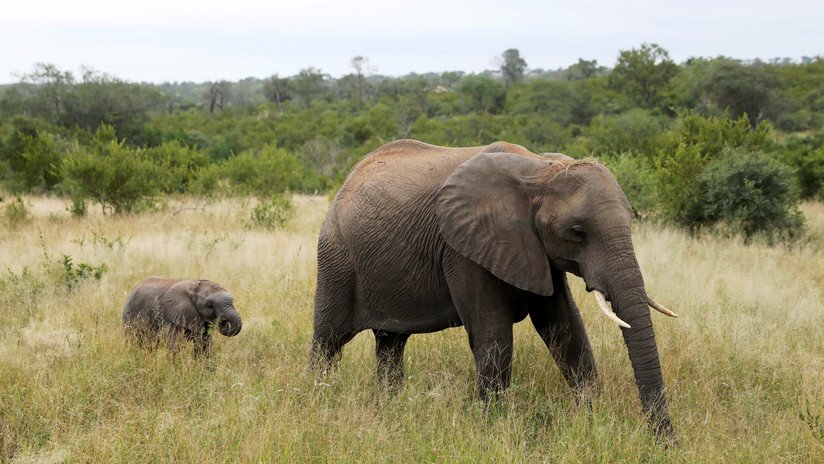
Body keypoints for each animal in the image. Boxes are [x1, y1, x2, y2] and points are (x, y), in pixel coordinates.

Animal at [310, 139, 677, 438]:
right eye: (577, 232)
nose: (664, 442)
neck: (540, 169)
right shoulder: (463, 249)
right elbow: (494, 337)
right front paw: (492, 430)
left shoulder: (536, 252)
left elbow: (565, 329)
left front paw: (589, 422)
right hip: (335, 257)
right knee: (328, 341)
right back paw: (318, 400)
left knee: (390, 343)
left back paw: (393, 408)